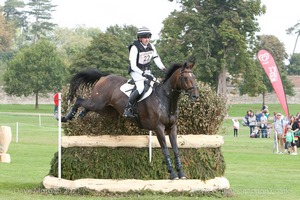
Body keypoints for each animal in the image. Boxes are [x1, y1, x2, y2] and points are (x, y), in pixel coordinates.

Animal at [61, 59, 199, 180]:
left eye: (194, 77)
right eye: (185, 78)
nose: (195, 96)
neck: (165, 99)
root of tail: (105, 77)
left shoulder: (172, 127)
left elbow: (175, 149)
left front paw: (181, 173)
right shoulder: (158, 128)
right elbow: (165, 149)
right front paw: (172, 173)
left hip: (106, 110)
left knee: (87, 106)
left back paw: (81, 115)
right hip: (98, 104)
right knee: (79, 100)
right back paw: (66, 117)